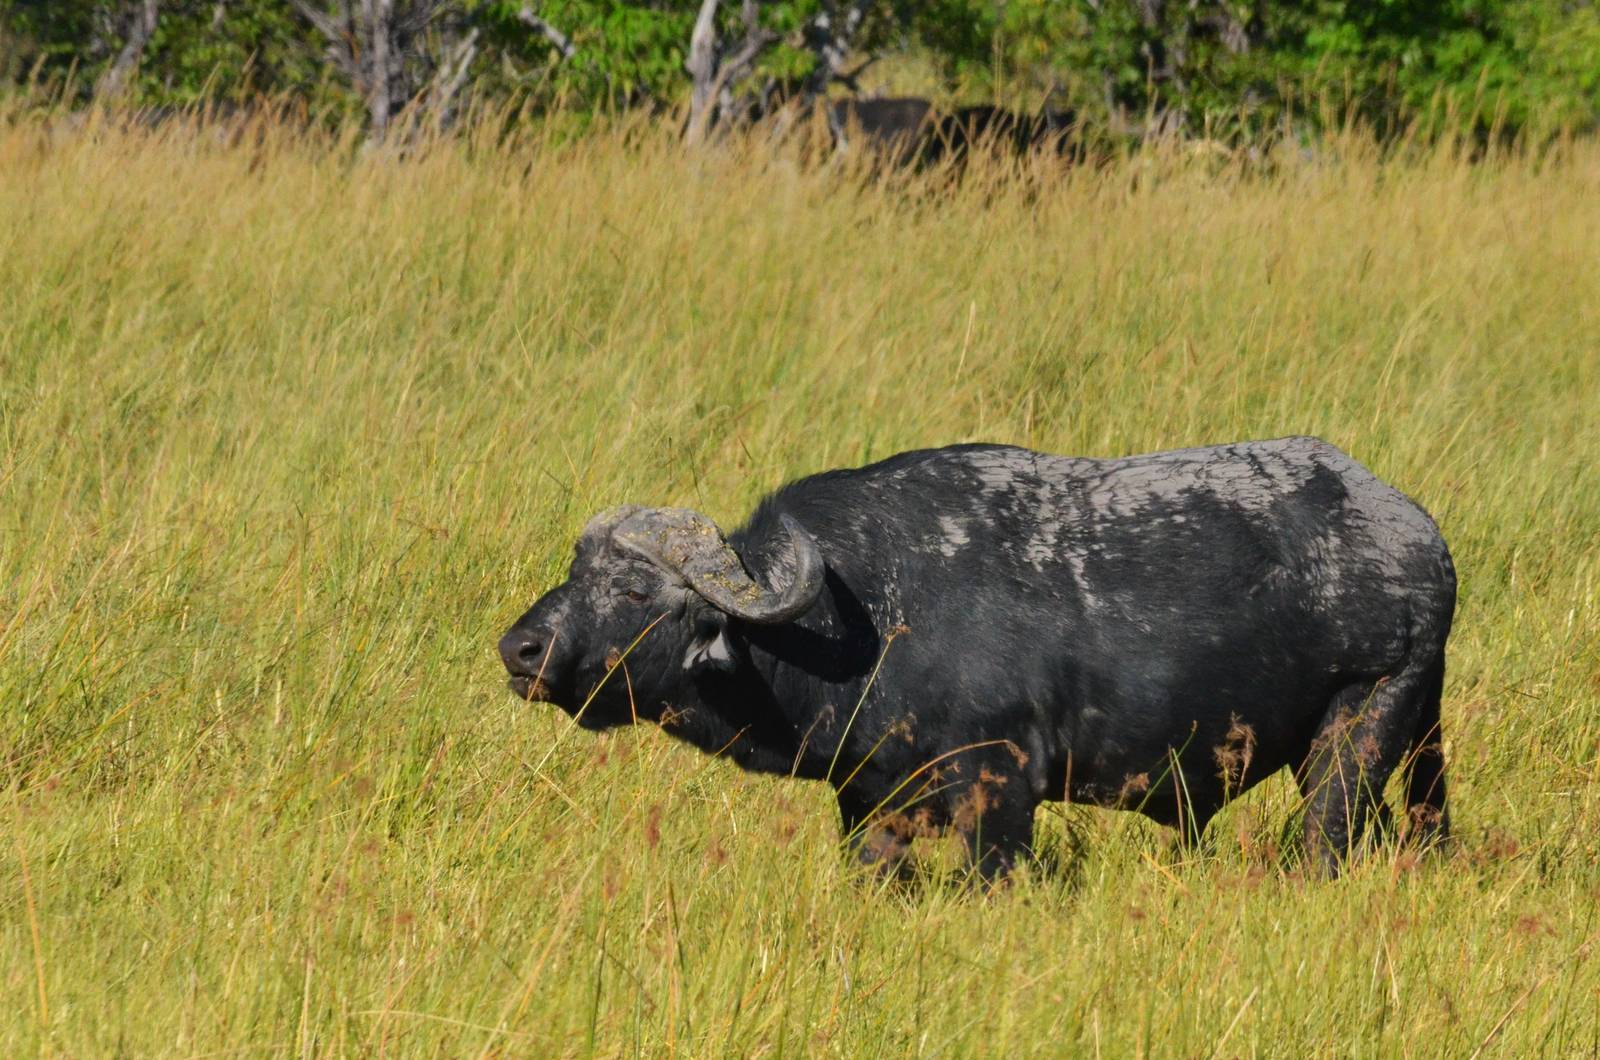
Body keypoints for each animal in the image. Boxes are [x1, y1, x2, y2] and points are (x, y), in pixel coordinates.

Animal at [499, 438, 1455, 879]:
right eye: (575, 572)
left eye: (634, 590)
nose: (521, 648)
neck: (869, 616)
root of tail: (1418, 537)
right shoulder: (868, 806)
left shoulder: (1000, 792)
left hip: (1357, 735)